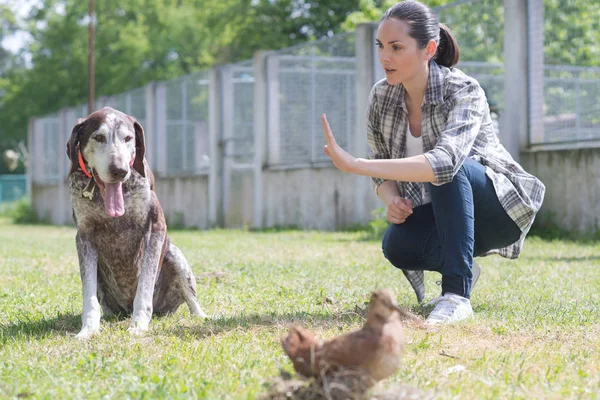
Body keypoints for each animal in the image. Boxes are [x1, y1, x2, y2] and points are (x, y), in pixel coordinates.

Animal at [66, 106, 207, 338]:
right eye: (98, 137)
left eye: (128, 138)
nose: (120, 170)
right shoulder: (84, 237)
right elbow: (89, 298)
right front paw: (88, 330)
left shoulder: (155, 228)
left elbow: (144, 288)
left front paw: (138, 324)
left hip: (175, 257)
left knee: (192, 300)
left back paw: (202, 316)